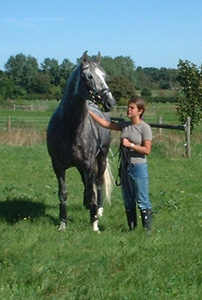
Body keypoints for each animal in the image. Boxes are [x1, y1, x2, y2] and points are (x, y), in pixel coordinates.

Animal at [47, 52, 115, 232]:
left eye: (104, 75)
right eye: (89, 76)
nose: (110, 102)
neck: (70, 127)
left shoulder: (89, 164)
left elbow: (93, 191)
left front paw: (94, 224)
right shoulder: (58, 166)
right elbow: (63, 193)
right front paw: (63, 223)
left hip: (101, 158)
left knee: (98, 183)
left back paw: (98, 209)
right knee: (87, 183)